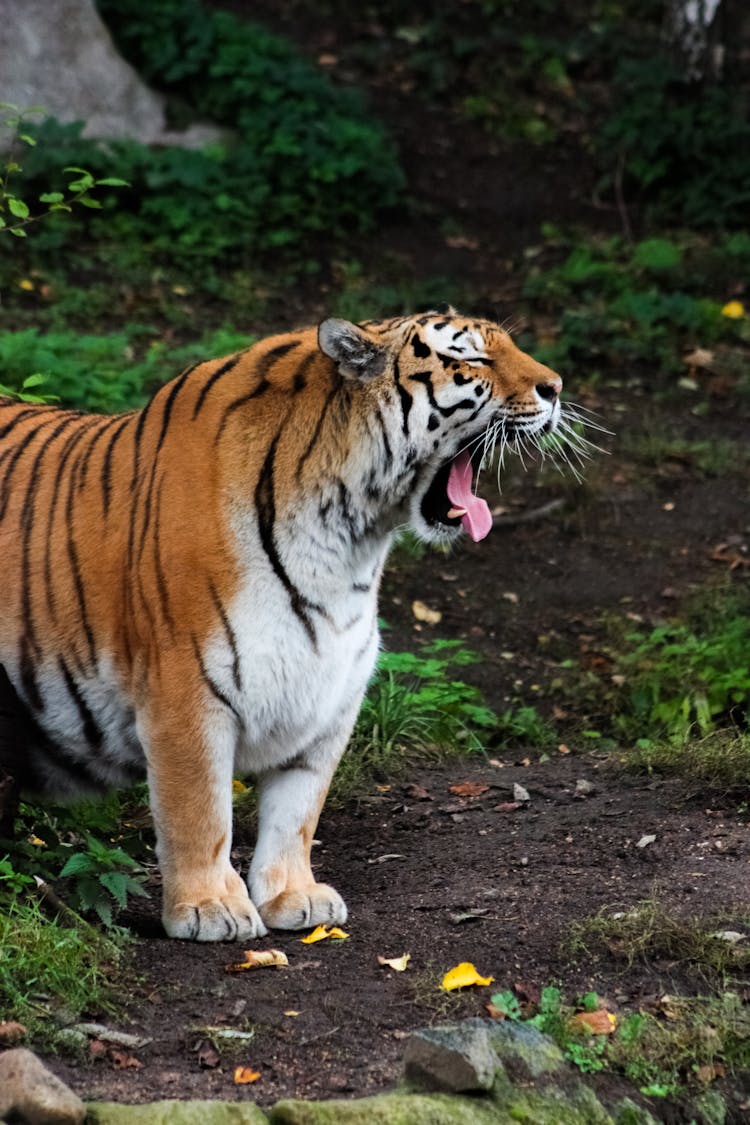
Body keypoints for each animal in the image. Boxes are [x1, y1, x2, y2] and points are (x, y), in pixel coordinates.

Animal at [0, 308, 562, 940]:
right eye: (471, 359)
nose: (556, 388)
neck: (349, 540)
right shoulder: (183, 693)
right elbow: (198, 810)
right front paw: (208, 908)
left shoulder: (330, 693)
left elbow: (298, 810)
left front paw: (294, 897)